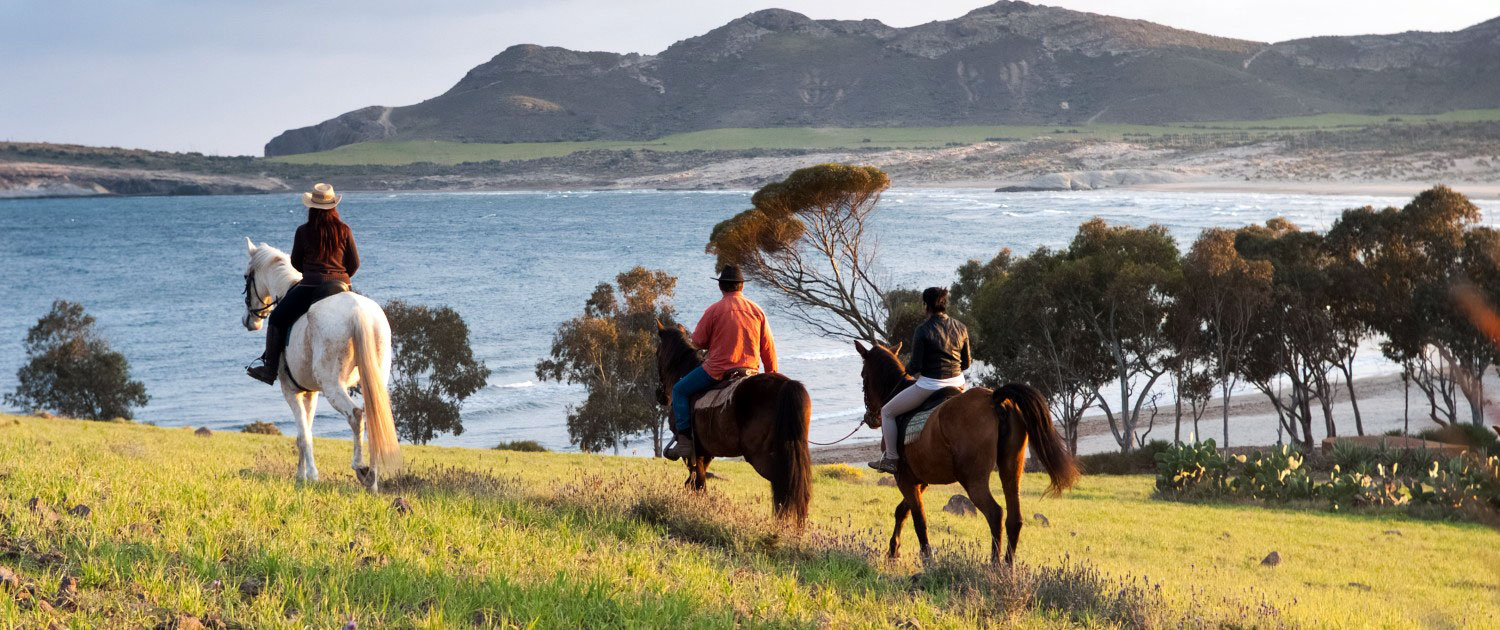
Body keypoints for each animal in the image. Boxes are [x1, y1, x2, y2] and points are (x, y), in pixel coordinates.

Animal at [237, 238, 399, 489]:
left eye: (246, 276)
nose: (249, 321)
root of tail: (357, 311)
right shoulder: (310, 393)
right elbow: (304, 432)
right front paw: (300, 476)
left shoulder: (291, 391)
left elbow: (304, 436)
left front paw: (311, 476)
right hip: (374, 380)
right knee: (373, 419)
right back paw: (372, 479)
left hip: (333, 386)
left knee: (356, 415)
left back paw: (359, 467)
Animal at [657, 322, 816, 525]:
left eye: (657, 353)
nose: (660, 395)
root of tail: (786, 385)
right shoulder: (706, 452)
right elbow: (696, 483)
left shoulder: (694, 452)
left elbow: (698, 483)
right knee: (798, 491)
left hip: (763, 457)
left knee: (784, 487)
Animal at [858, 342, 1080, 564]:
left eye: (862, 376)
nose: (870, 419)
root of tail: (995, 399)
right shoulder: (920, 479)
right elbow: (903, 511)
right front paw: (893, 551)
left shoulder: (905, 478)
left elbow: (918, 518)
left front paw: (925, 559)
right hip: (1011, 468)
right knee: (1014, 518)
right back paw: (1008, 565)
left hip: (972, 478)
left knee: (995, 513)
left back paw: (994, 564)